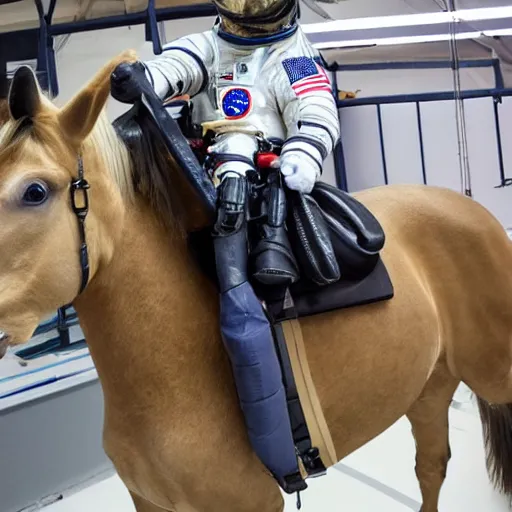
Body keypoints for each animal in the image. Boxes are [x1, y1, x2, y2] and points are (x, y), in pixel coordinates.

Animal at [1, 51, 512, 512]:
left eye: (35, 191)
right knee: (431, 466)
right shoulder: (148, 502)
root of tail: (472, 208)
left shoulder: (252, 502)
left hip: (494, 373)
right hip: (430, 385)